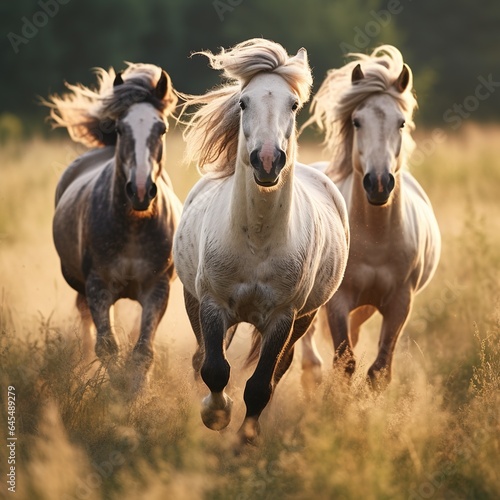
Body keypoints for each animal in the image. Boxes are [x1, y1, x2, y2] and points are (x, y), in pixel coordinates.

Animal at [44, 61, 182, 390]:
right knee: (85, 317)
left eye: (162, 128)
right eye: (121, 129)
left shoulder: (157, 289)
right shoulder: (98, 286)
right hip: (80, 283)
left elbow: (143, 348)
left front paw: (136, 391)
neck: (133, 227)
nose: (141, 191)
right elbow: (107, 345)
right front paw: (116, 389)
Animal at [174, 40, 350, 446]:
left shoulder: (282, 317)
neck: (257, 241)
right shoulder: (212, 304)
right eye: (243, 102)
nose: (267, 161)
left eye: (294, 104)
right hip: (194, 300)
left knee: (279, 369)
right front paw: (215, 414)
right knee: (201, 358)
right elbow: (214, 368)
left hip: (305, 317)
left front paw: (246, 438)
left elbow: (260, 385)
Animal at [298, 46, 440, 390]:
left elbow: (379, 371)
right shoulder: (338, 300)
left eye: (401, 123)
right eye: (357, 121)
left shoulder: (400, 303)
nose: (378, 183)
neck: (376, 237)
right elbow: (344, 362)